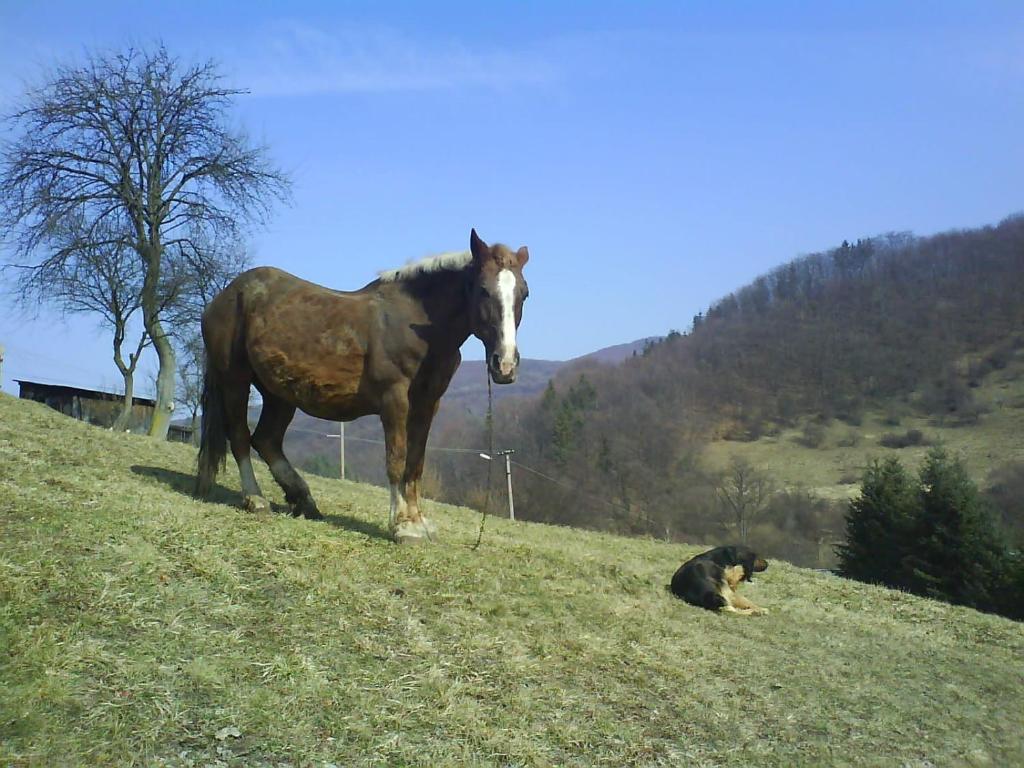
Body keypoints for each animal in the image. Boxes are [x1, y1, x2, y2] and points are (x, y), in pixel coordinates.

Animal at [194, 229, 530, 543]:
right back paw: (256, 499)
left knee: (266, 440)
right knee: (240, 436)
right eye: (483, 290)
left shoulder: (428, 403)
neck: (417, 325)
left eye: (524, 293)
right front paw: (403, 527)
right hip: (235, 380)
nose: (505, 364)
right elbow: (396, 458)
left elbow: (416, 462)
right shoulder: (394, 398)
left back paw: (304, 500)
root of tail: (225, 296)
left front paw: (419, 523)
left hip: (279, 393)